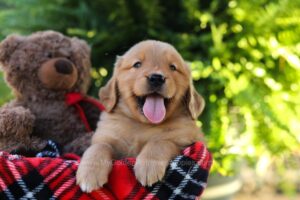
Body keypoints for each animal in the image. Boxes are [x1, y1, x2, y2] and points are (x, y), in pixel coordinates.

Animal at [76, 40, 205, 192]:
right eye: (137, 64)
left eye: (173, 67)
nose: (157, 78)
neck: (142, 124)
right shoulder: (105, 137)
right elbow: (99, 146)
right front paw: (89, 173)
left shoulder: (186, 141)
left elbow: (161, 141)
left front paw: (148, 167)